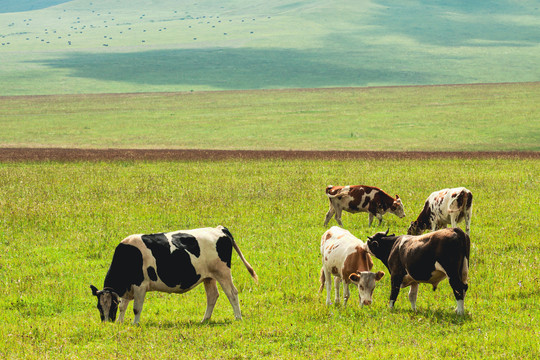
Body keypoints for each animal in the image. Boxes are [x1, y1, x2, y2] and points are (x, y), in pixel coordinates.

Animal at [89, 225, 258, 324]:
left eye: (111, 305)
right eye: (98, 306)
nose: (106, 322)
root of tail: (219, 228)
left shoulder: (140, 286)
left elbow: (136, 308)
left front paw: (134, 324)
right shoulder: (129, 287)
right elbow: (124, 306)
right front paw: (120, 322)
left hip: (222, 272)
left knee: (232, 293)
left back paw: (238, 317)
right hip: (209, 276)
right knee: (212, 295)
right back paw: (205, 319)